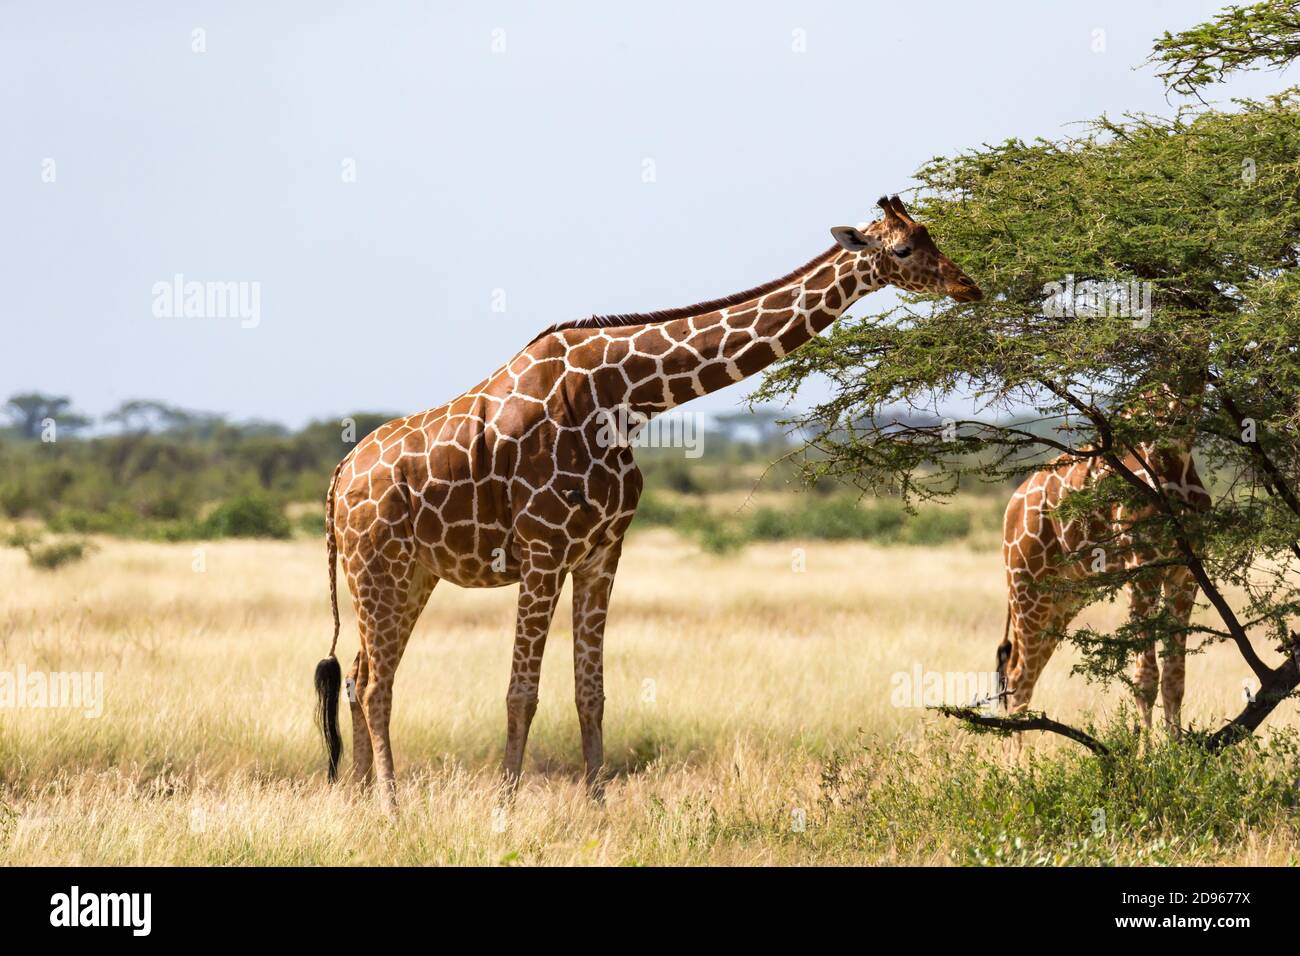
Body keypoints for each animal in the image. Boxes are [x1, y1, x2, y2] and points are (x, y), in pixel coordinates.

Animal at [313, 196, 982, 813]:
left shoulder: (601, 551)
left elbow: (591, 692)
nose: (967, 285)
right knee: (374, 686)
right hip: (378, 568)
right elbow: (520, 693)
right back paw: (391, 806)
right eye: (903, 249)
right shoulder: (542, 550)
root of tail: (339, 478)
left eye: (931, 235)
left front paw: (598, 810)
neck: (626, 396)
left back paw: (360, 801)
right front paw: (504, 810)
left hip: (412, 574)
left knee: (361, 675)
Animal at [995, 410, 1211, 737]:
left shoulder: (1184, 573)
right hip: (1027, 586)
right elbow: (1145, 679)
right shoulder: (1142, 567)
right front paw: (1145, 751)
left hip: (1064, 599)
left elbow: (1175, 678)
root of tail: (1012, 505)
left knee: (1023, 673)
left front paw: (1177, 748)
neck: (1175, 454)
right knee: (1018, 677)